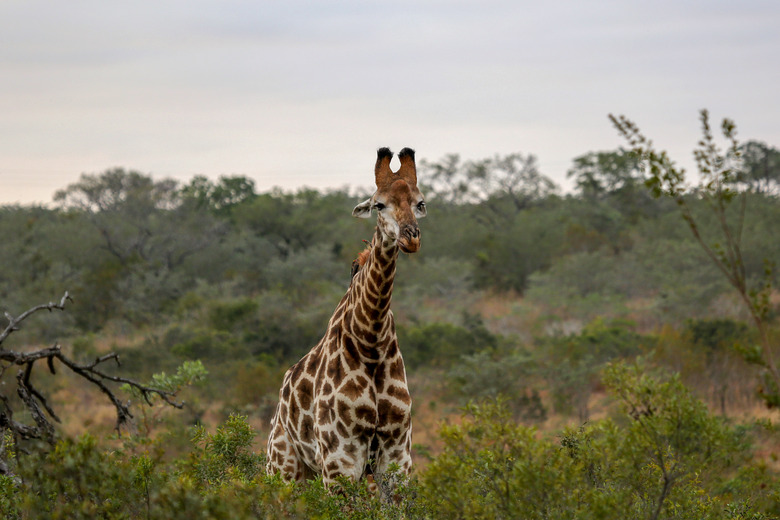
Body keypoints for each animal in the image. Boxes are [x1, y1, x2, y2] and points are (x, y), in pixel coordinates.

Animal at [266, 145, 426, 488]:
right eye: (379, 204)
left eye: (420, 203)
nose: (411, 237)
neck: (372, 339)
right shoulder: (340, 460)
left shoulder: (397, 455)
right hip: (283, 468)